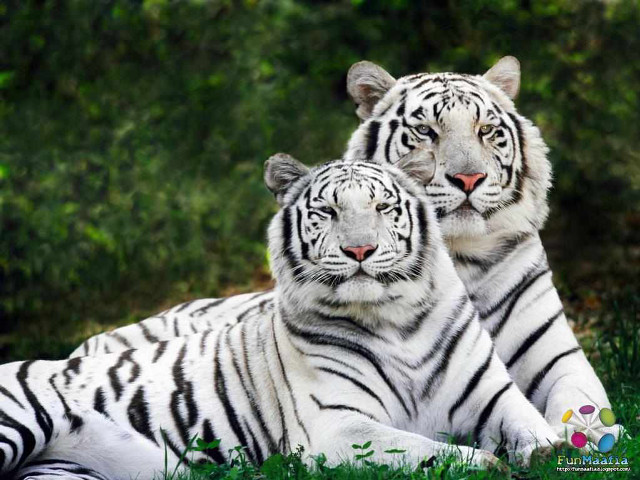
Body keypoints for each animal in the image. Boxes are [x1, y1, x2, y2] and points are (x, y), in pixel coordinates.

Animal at [0, 157, 563, 480]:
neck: (396, 320)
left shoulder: (492, 396)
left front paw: (551, 451)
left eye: (383, 208)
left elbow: (532, 428)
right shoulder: (336, 427)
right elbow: (423, 448)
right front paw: (487, 464)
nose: (360, 250)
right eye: (328, 212)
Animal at [70, 57, 621, 442]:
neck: (459, 257)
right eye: (426, 131)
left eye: (487, 131)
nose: (468, 179)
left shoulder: (558, 356)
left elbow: (585, 404)